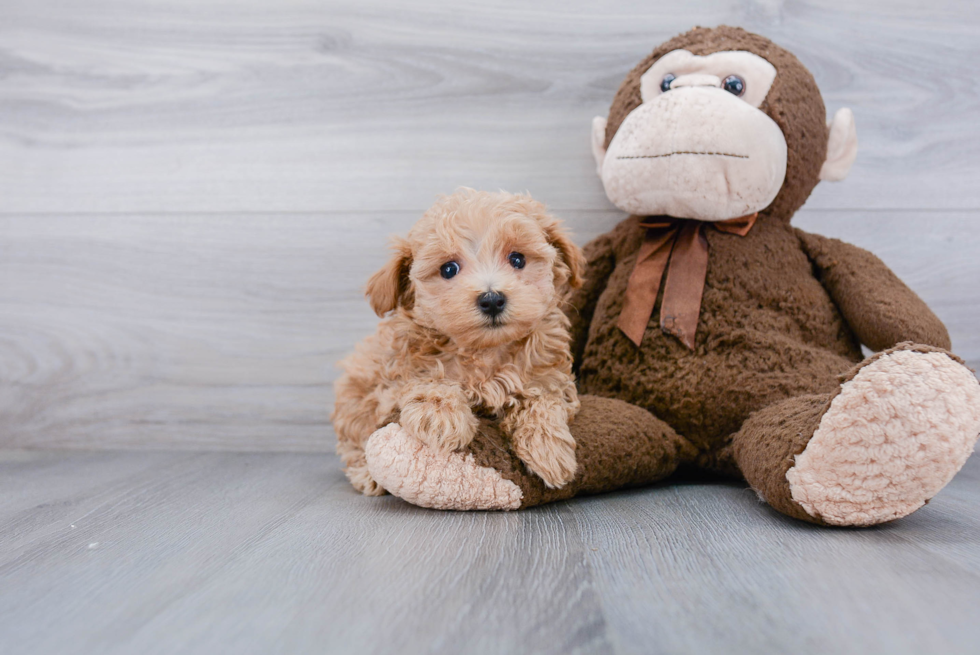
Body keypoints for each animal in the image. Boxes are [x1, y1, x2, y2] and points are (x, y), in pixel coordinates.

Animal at [334, 190, 584, 498]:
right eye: (448, 269)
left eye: (517, 259)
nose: (492, 299)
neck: (484, 352)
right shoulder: (391, 380)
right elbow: (426, 379)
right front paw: (441, 416)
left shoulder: (549, 374)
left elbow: (544, 398)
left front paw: (548, 447)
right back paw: (367, 475)